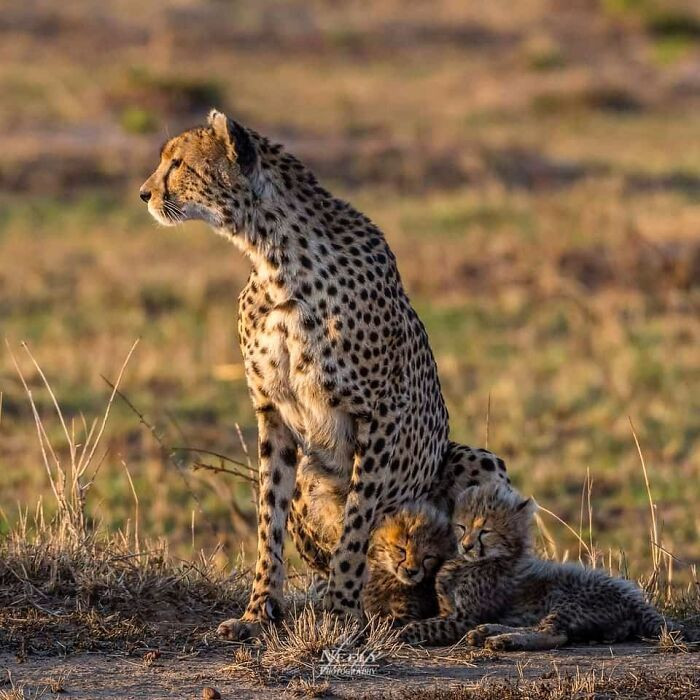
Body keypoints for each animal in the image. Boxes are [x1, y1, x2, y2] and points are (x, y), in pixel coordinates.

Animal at [139, 109, 510, 641]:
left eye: (179, 163)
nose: (144, 193)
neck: (272, 256)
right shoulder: (272, 413)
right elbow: (267, 518)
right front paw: (258, 612)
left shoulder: (380, 415)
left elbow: (358, 519)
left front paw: (341, 610)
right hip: (308, 484)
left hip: (478, 460)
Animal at [400, 482, 684, 649]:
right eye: (461, 526)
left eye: (485, 531)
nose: (466, 546)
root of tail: (636, 597)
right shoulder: (451, 611)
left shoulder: (464, 618)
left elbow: (428, 625)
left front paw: (399, 633)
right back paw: (489, 632)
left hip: (569, 598)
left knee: (553, 634)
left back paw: (501, 639)